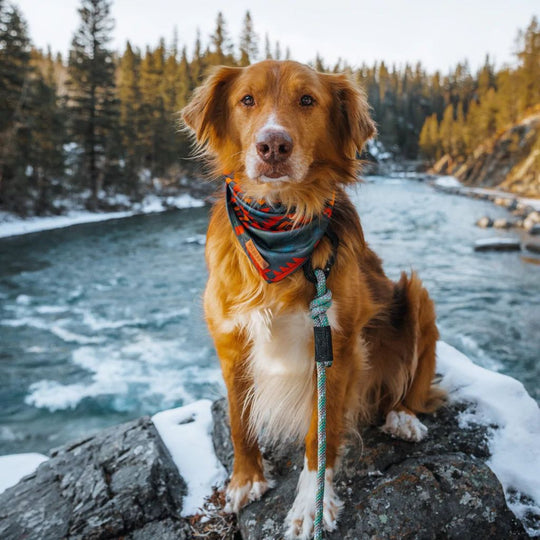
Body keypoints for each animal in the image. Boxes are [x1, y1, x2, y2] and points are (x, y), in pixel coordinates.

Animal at [181, 61, 442, 536]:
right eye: (247, 100)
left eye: (307, 100)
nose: (273, 146)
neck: (279, 225)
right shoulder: (230, 341)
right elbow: (238, 421)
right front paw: (246, 480)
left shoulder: (335, 345)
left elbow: (319, 435)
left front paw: (310, 506)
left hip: (417, 295)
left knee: (412, 383)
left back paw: (402, 416)